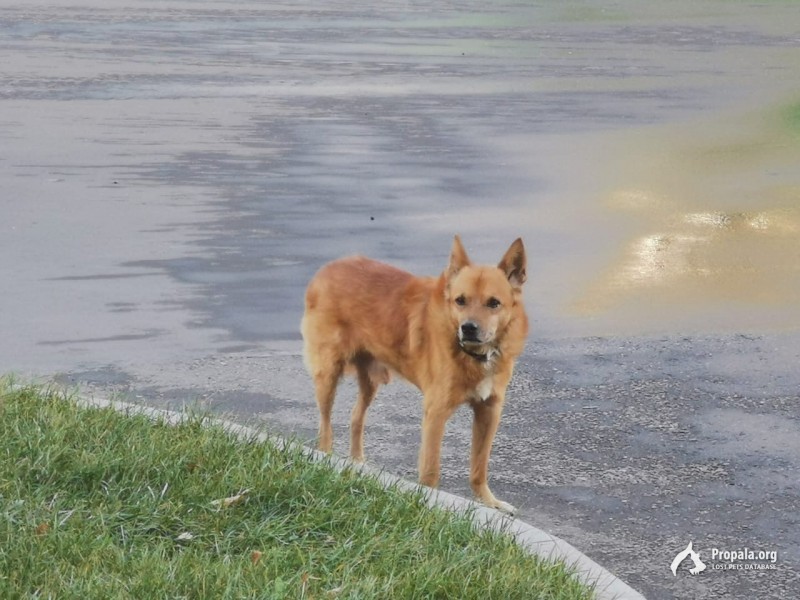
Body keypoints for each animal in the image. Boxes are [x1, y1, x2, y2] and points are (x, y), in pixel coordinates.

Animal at [298, 237, 524, 512]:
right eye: (460, 300)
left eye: (494, 303)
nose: (468, 328)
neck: (474, 355)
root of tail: (329, 267)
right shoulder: (436, 412)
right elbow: (431, 470)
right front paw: (431, 503)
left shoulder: (489, 411)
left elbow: (479, 468)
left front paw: (490, 503)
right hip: (328, 376)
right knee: (325, 426)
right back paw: (327, 457)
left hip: (370, 382)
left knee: (356, 417)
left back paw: (358, 462)